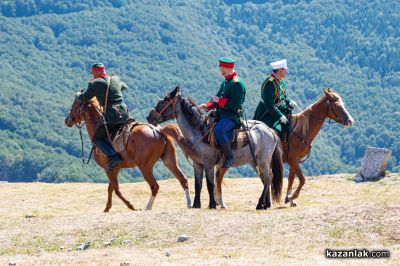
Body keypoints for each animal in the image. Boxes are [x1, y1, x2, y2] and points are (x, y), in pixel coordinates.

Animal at [64, 97, 192, 212]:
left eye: (75, 104)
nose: (67, 120)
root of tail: (159, 131)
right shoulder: (114, 169)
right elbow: (111, 188)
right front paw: (107, 207)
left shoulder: (108, 169)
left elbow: (116, 189)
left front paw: (131, 206)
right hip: (169, 161)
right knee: (183, 180)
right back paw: (189, 204)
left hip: (145, 167)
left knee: (155, 186)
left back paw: (148, 207)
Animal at [148, 87, 284, 210]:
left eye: (162, 102)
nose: (149, 117)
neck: (200, 131)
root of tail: (269, 130)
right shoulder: (198, 164)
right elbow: (198, 184)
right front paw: (196, 205)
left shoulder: (209, 164)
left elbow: (210, 184)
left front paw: (212, 204)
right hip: (256, 162)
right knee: (266, 178)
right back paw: (265, 204)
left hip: (263, 161)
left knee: (268, 177)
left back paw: (260, 204)